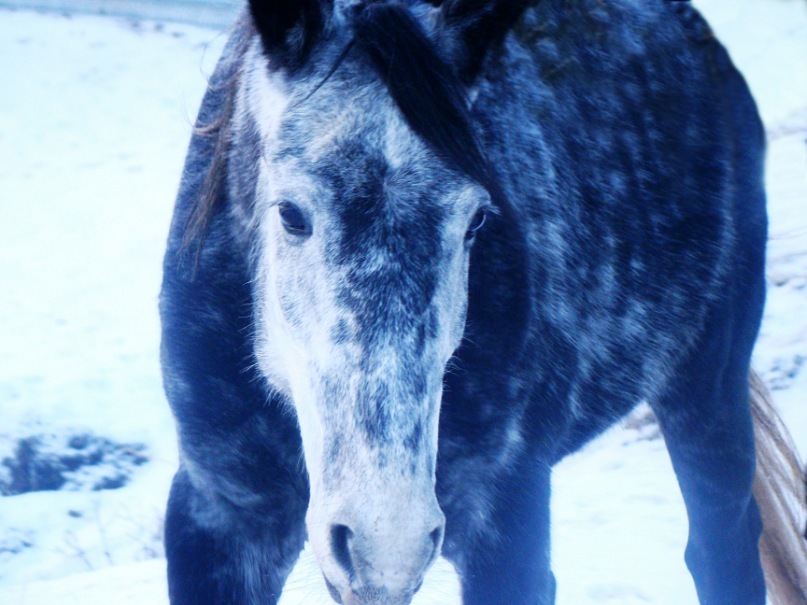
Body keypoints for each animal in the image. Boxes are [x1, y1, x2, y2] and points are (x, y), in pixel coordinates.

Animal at [158, 1, 807, 604]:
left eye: (476, 220)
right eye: (290, 213)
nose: (384, 543)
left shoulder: (509, 518)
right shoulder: (219, 515)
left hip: (706, 384)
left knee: (721, 546)